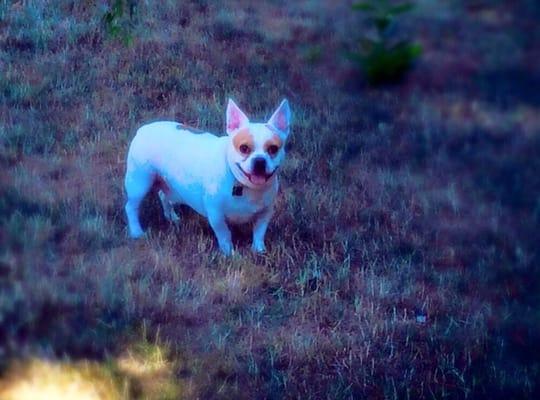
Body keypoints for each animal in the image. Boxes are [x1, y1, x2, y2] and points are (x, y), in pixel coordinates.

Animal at [124, 100, 292, 256]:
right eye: (244, 148)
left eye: (273, 149)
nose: (259, 161)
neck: (243, 185)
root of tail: (143, 129)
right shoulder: (216, 215)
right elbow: (225, 235)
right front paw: (229, 254)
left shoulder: (265, 213)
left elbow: (259, 233)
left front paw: (258, 250)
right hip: (139, 183)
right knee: (131, 207)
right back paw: (136, 232)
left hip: (170, 185)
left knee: (163, 195)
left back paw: (171, 217)